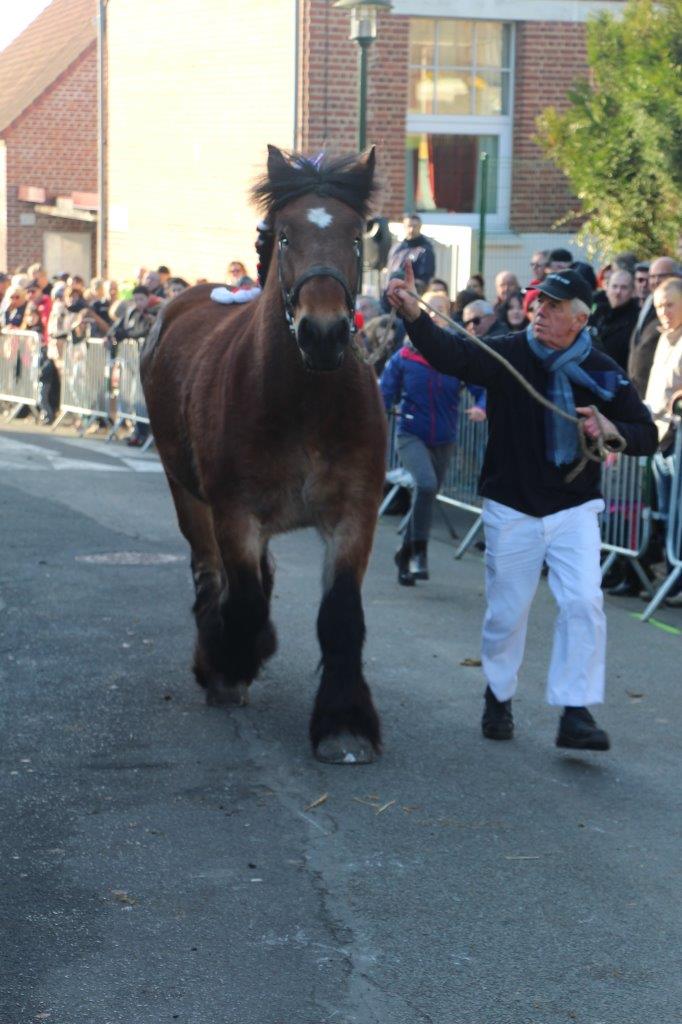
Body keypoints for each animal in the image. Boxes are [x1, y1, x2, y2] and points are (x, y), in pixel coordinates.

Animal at [142, 148, 387, 765]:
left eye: (356, 237)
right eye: (285, 234)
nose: (323, 332)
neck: (305, 401)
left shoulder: (355, 514)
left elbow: (341, 613)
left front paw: (343, 723)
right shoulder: (235, 512)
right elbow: (246, 597)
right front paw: (229, 663)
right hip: (187, 493)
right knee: (211, 573)